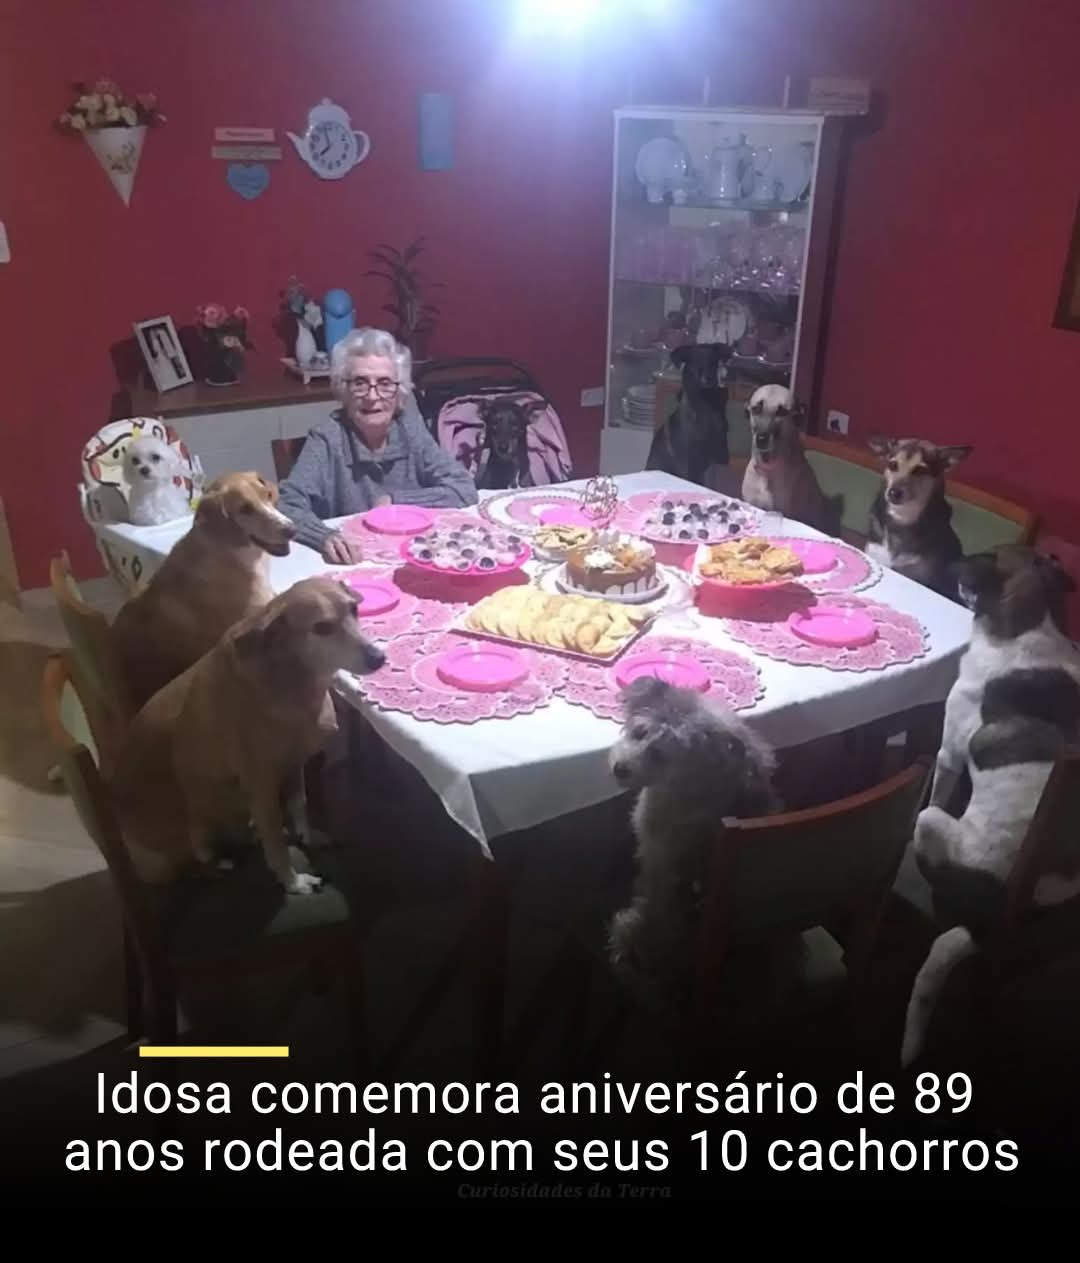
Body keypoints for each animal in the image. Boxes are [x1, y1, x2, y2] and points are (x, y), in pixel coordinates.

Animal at [109, 576, 386, 895]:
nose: (379, 658)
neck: (289, 675)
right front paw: (293, 882)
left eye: (354, 609)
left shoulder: (294, 765)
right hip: (183, 836)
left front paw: (306, 835)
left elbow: (299, 804)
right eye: (322, 627)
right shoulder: (261, 786)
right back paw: (220, 861)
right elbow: (276, 842)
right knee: (199, 857)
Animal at [865, 437, 973, 599]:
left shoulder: (917, 575)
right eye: (892, 465)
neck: (902, 518)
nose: (893, 493)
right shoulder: (875, 554)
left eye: (920, 470)